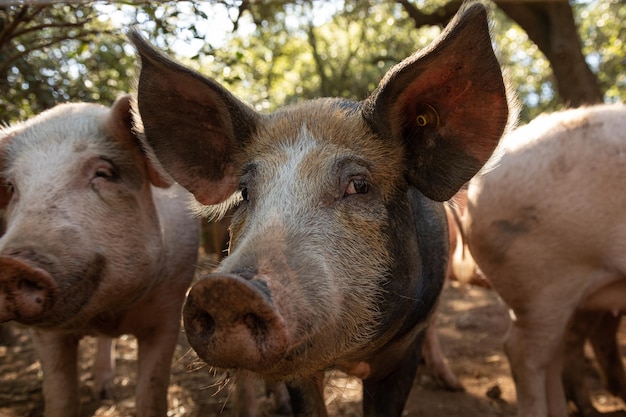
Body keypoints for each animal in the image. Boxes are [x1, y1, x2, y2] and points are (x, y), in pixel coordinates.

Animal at [0, 95, 197, 416]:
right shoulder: (46, 335)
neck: (108, 313)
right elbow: (61, 397)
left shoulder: (170, 308)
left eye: (105, 173)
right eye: (11, 187)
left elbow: (152, 393)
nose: (10, 264)